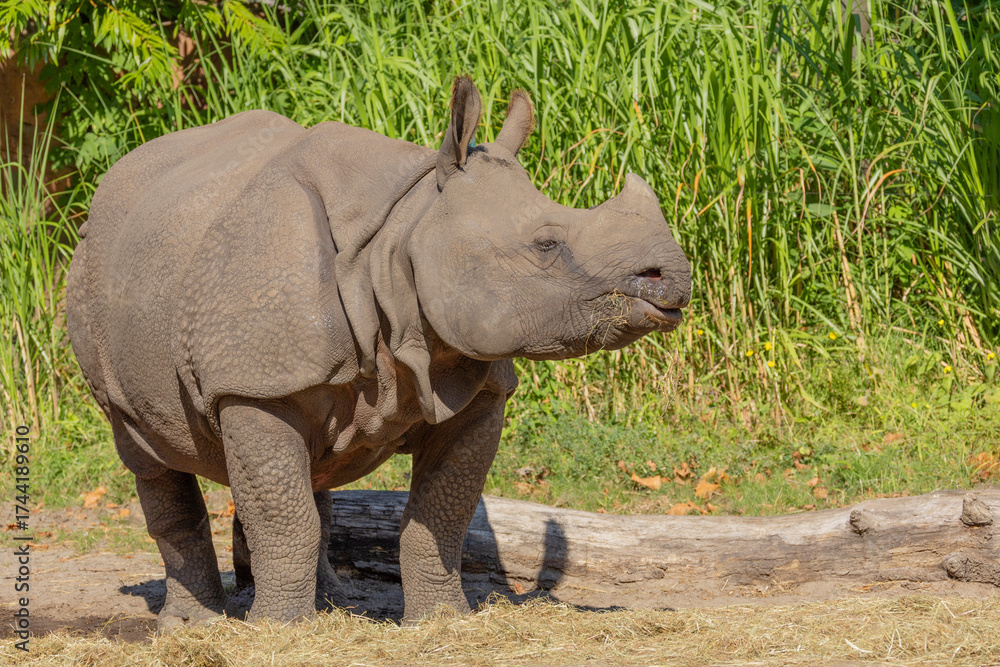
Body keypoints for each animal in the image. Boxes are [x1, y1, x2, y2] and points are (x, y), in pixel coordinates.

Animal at [66, 77, 691, 630]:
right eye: (546, 245)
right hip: (93, 279)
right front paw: (278, 631)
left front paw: (442, 621)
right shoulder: (252, 381)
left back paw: (328, 605)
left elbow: (442, 515)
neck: (406, 234)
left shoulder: (477, 387)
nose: (674, 278)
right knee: (148, 451)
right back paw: (192, 626)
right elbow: (283, 517)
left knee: (309, 473)